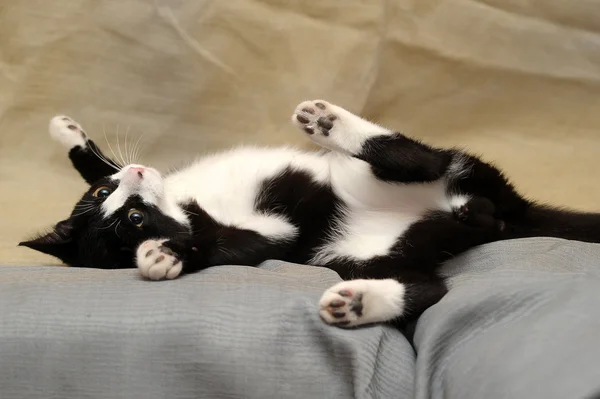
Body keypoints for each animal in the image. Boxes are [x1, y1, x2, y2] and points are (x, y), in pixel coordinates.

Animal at [18, 101, 600, 330]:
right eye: (133, 222)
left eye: (105, 194)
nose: (137, 174)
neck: (183, 202)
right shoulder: (272, 237)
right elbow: (224, 246)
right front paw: (163, 255)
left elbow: (90, 158)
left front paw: (65, 132)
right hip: (362, 255)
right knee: (430, 283)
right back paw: (357, 303)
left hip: (409, 180)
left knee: (424, 161)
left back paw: (328, 124)